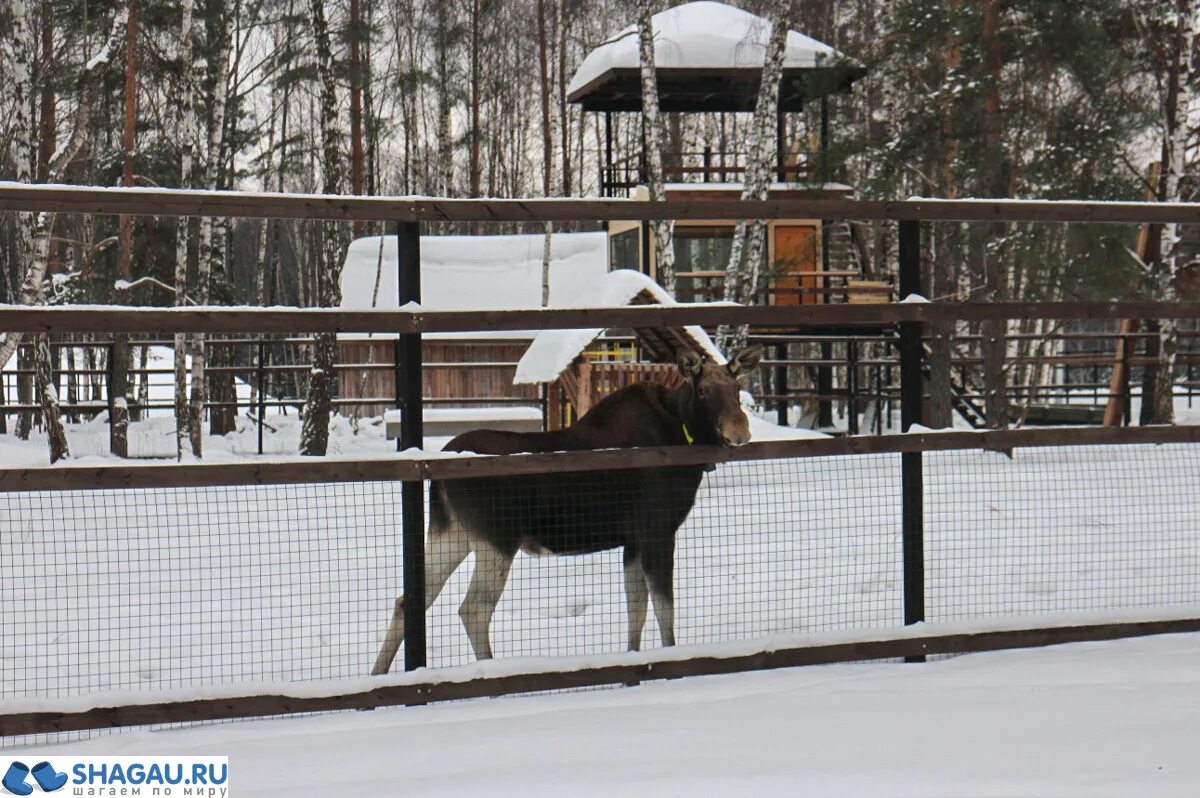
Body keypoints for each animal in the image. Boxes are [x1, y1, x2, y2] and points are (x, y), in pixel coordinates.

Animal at [369, 343, 763, 672]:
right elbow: (664, 610)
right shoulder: (657, 530)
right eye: (703, 390)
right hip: (496, 538)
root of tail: (440, 472)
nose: (739, 432)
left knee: (409, 600)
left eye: (736, 390)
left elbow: (636, 607)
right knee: (474, 608)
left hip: (452, 533)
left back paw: (379, 674)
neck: (683, 437)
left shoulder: (633, 540)